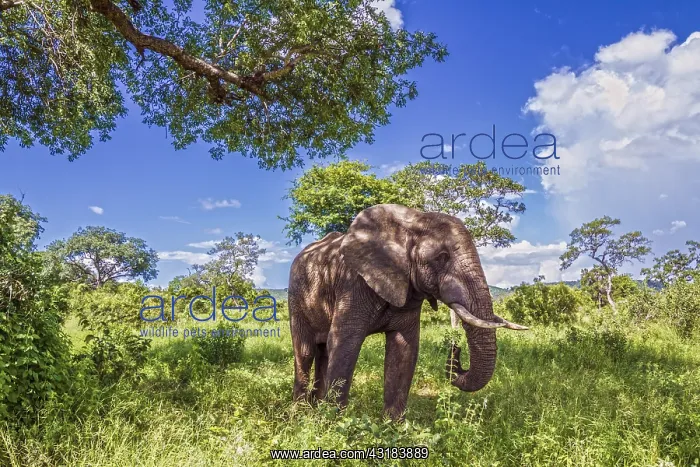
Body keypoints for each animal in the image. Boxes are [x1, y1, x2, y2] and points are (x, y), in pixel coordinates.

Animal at [288, 204, 528, 420]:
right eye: (441, 257)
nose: (455, 349)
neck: (412, 222)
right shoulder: (352, 282)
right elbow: (346, 343)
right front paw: (333, 423)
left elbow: (404, 349)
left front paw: (392, 426)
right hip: (296, 296)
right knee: (306, 351)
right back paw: (300, 413)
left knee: (322, 352)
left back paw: (314, 406)